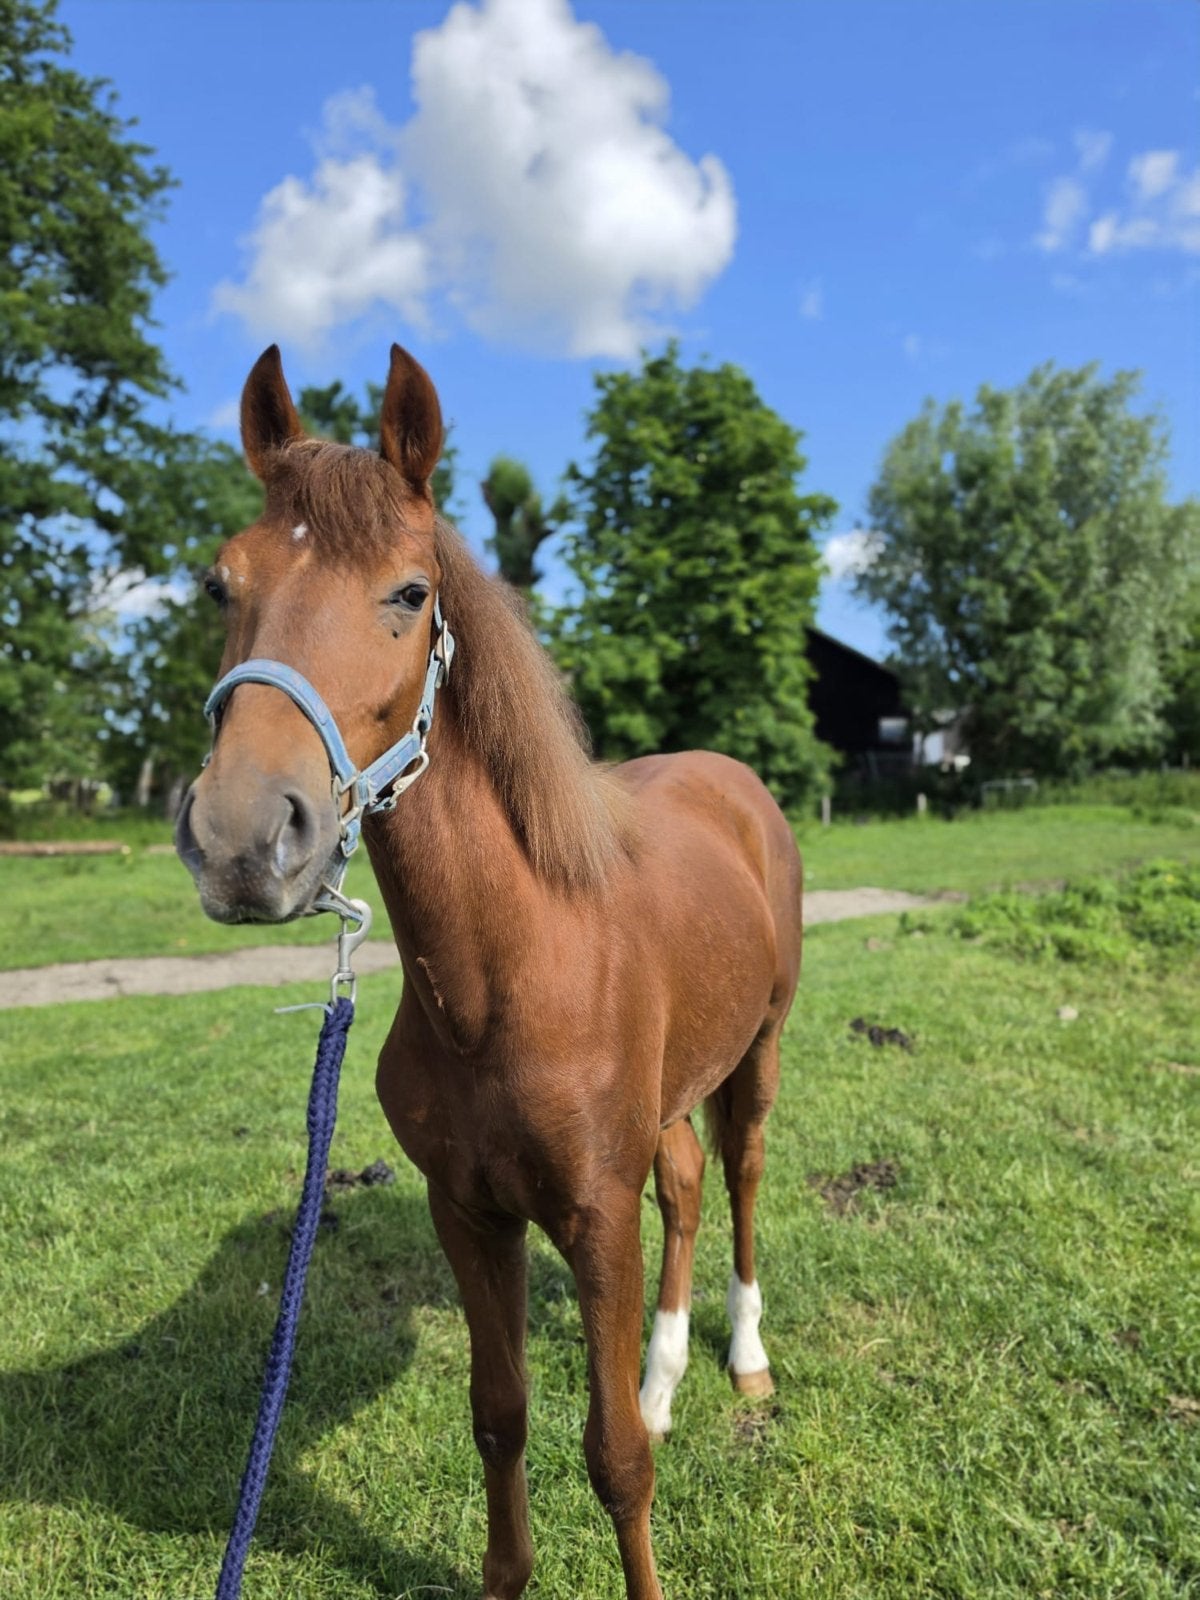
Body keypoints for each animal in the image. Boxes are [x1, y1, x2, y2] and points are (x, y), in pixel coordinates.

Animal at [176, 344, 803, 1600]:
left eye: (411, 592)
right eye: (222, 584)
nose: (241, 839)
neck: (501, 984)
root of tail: (737, 780)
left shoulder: (596, 1217)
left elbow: (614, 1458)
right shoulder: (468, 1213)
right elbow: (501, 1415)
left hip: (757, 1052)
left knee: (744, 1177)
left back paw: (745, 1360)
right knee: (687, 1186)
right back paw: (666, 1375)